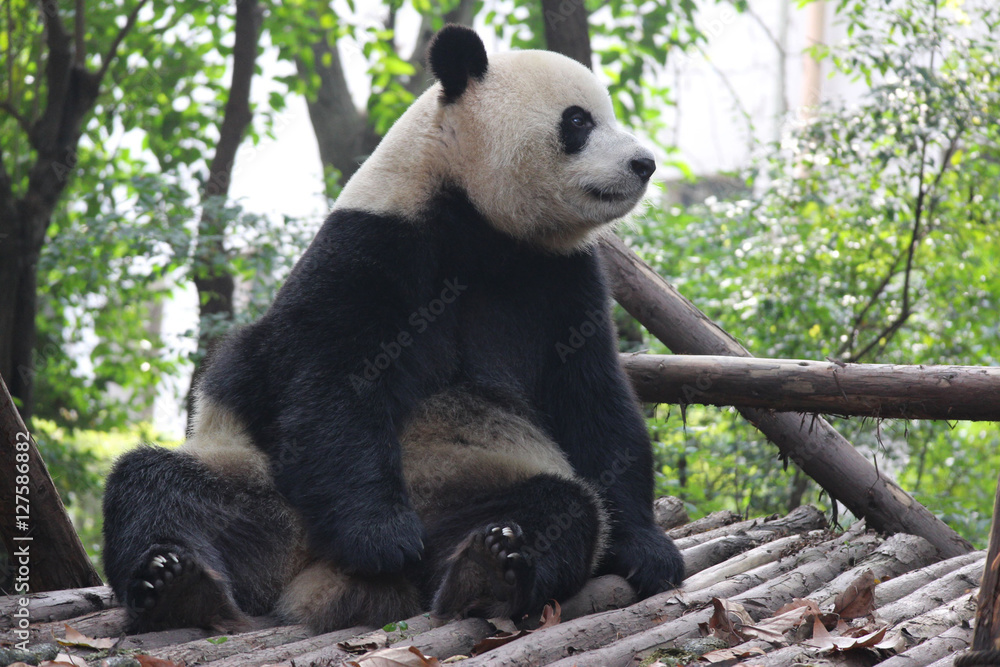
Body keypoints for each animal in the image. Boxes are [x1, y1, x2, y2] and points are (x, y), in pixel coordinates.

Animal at [102, 25, 684, 634]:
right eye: (578, 121)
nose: (644, 164)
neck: (479, 216)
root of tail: (313, 578)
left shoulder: (563, 278)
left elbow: (592, 401)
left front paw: (647, 550)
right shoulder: (377, 242)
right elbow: (328, 382)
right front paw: (380, 537)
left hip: (471, 481)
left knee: (560, 509)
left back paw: (489, 566)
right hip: (263, 490)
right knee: (158, 486)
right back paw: (174, 582)